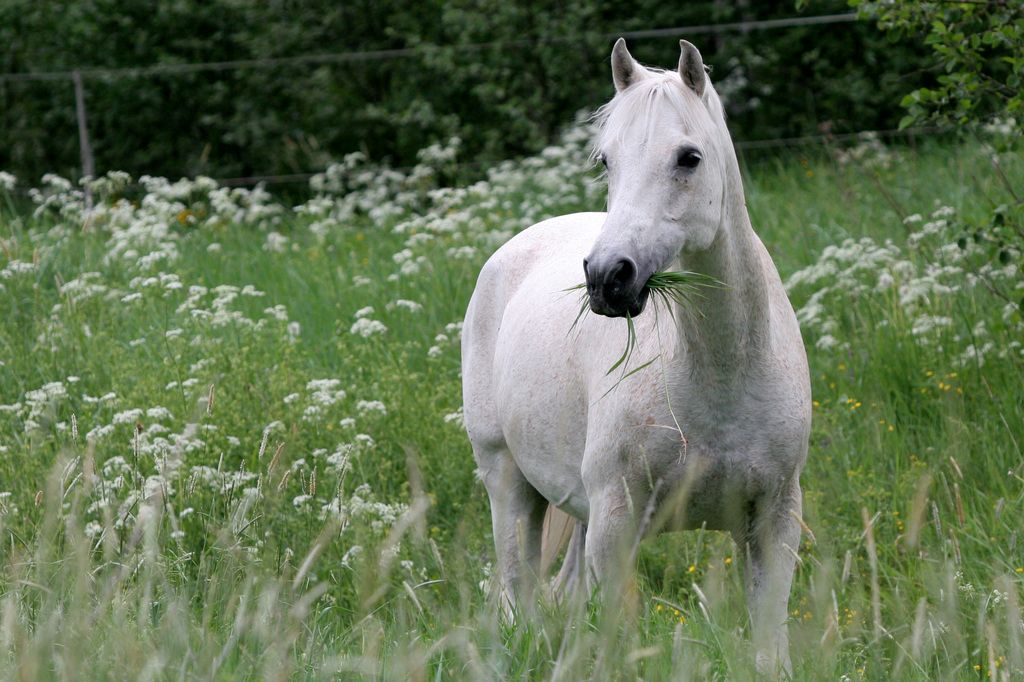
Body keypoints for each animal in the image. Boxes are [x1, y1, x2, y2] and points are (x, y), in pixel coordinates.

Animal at [461, 38, 811, 673]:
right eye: (607, 161)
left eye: (689, 158)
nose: (607, 278)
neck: (720, 376)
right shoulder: (615, 525)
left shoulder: (773, 521)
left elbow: (768, 645)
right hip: (507, 483)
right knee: (517, 593)